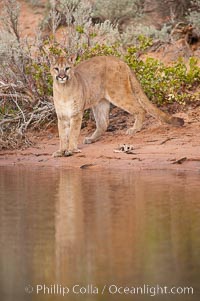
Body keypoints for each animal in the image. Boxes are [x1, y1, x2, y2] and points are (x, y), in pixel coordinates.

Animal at [50, 55, 184, 157]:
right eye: (56, 68)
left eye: (67, 68)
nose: (62, 76)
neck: (63, 89)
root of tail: (121, 61)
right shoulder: (62, 116)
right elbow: (63, 135)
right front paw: (61, 151)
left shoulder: (76, 113)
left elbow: (73, 132)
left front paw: (71, 150)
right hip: (100, 102)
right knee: (103, 123)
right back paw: (91, 139)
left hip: (118, 94)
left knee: (140, 109)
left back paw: (134, 129)